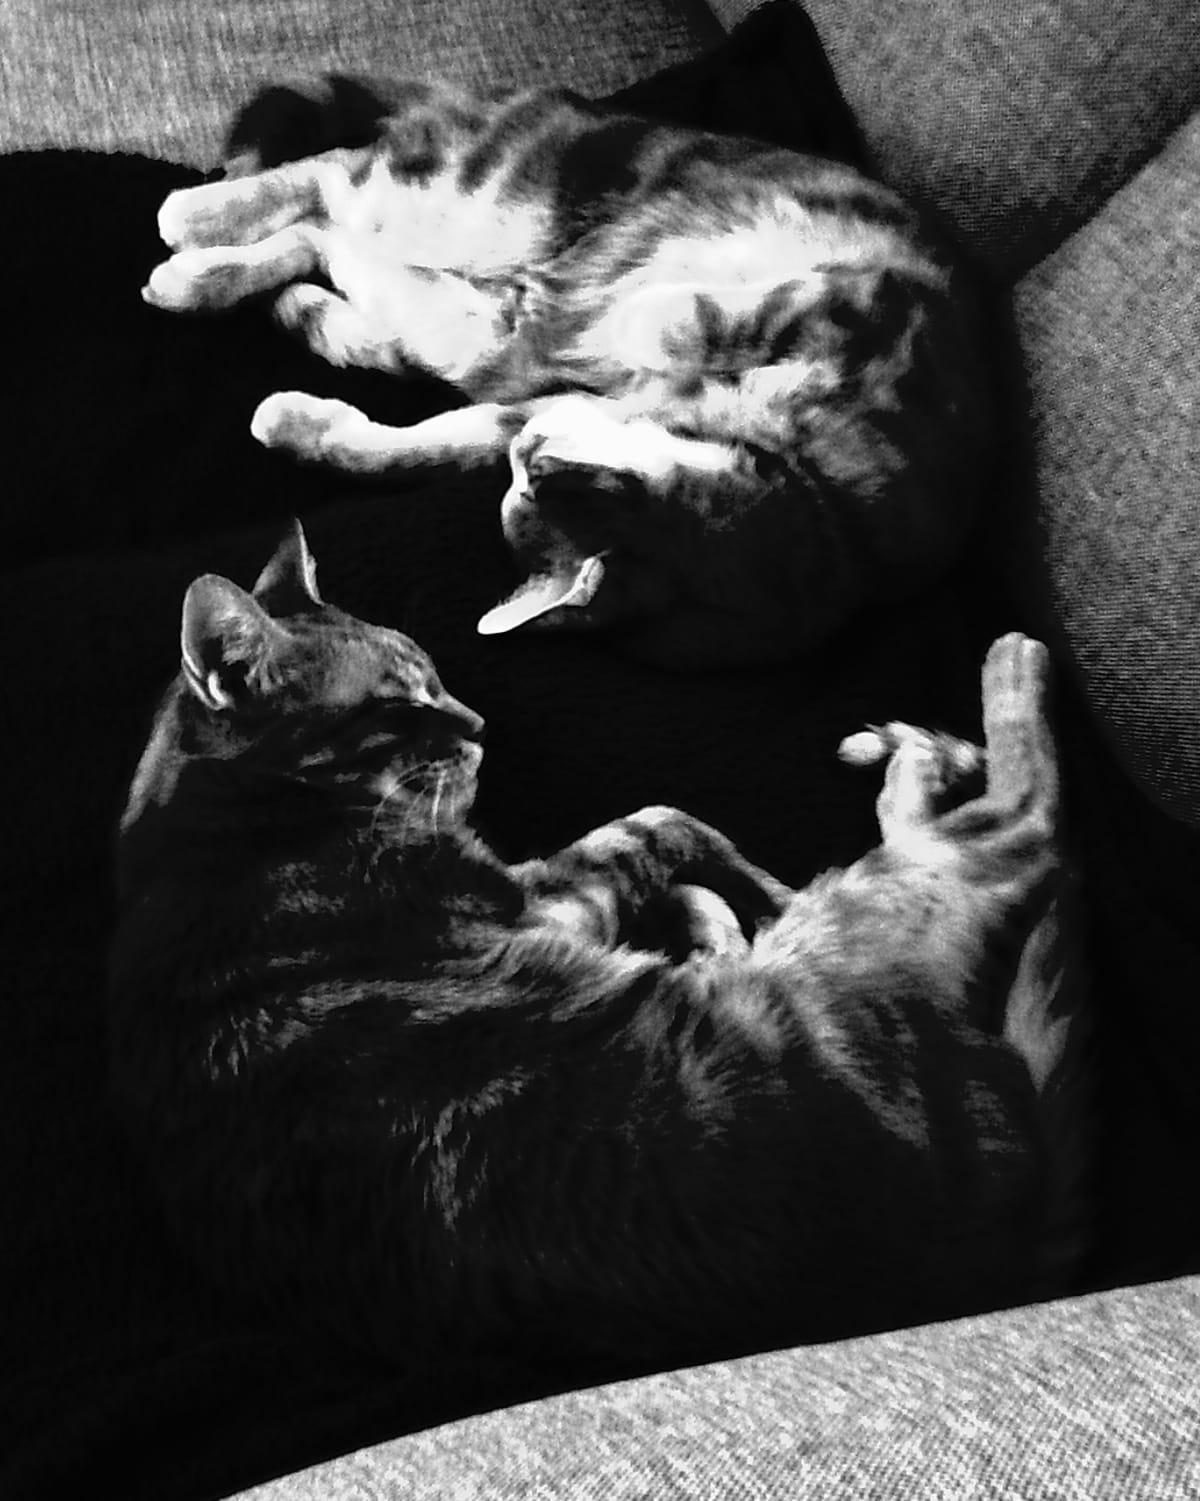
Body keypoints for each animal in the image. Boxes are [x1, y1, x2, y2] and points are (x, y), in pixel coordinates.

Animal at [108, 522, 1093, 1368]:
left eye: (434, 675)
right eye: (398, 701)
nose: (477, 725)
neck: (224, 816)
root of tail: (999, 1233)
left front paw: (708, 918)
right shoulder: (540, 901)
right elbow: (667, 822)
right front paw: (733, 896)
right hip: (883, 899)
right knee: (1023, 818)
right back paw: (1008, 666)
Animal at [141, 79, 997, 666]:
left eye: (526, 485)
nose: (533, 453)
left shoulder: (531, 408)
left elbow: (414, 446)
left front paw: (304, 423)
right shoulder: (851, 301)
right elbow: (663, 317)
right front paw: (589, 324)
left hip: (429, 262)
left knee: (329, 243)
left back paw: (226, 283)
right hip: (484, 200)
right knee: (331, 178)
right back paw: (197, 216)